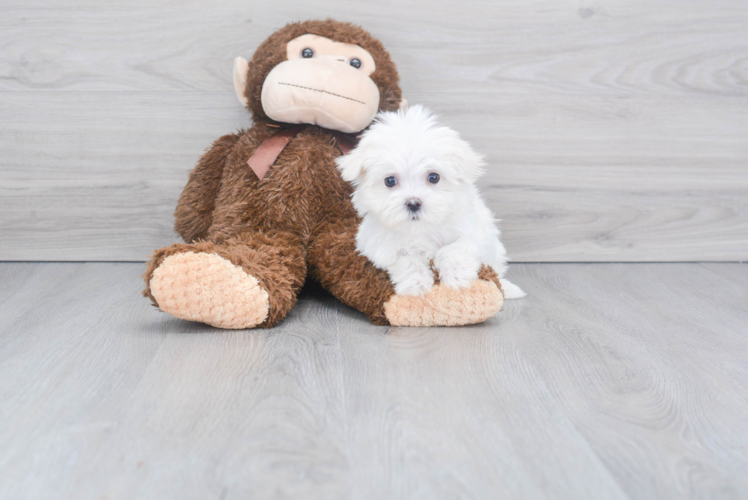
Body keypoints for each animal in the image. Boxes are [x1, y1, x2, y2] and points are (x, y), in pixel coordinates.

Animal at [336, 105, 524, 298]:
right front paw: (416, 284)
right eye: (390, 181)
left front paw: (456, 276)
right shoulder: (381, 247)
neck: (422, 229)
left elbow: (452, 248)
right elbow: (406, 259)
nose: (413, 203)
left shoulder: (474, 232)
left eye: (434, 177)